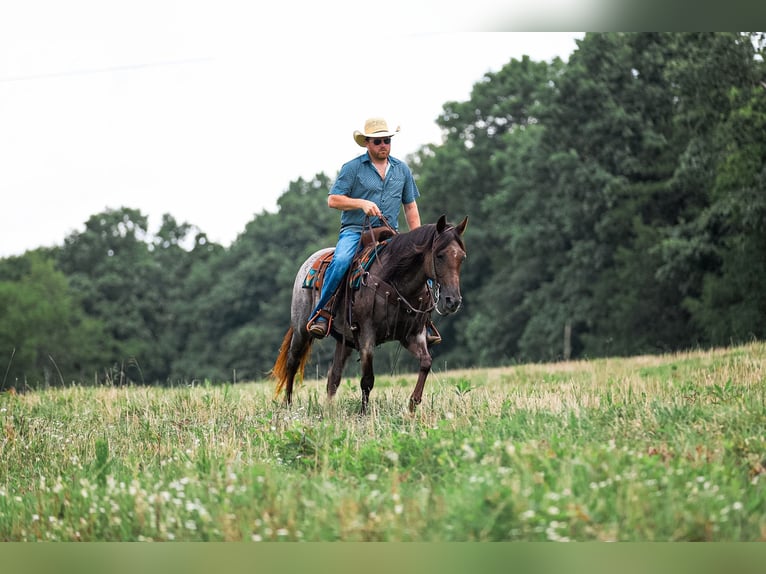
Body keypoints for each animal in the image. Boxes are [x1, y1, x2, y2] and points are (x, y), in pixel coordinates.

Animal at [271, 214, 468, 414]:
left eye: (462, 257)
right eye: (439, 255)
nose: (453, 301)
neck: (396, 282)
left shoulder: (413, 335)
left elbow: (426, 362)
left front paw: (413, 405)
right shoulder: (367, 335)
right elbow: (367, 380)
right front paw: (363, 413)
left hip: (345, 340)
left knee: (333, 376)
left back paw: (329, 411)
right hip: (301, 329)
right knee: (292, 362)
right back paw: (287, 405)